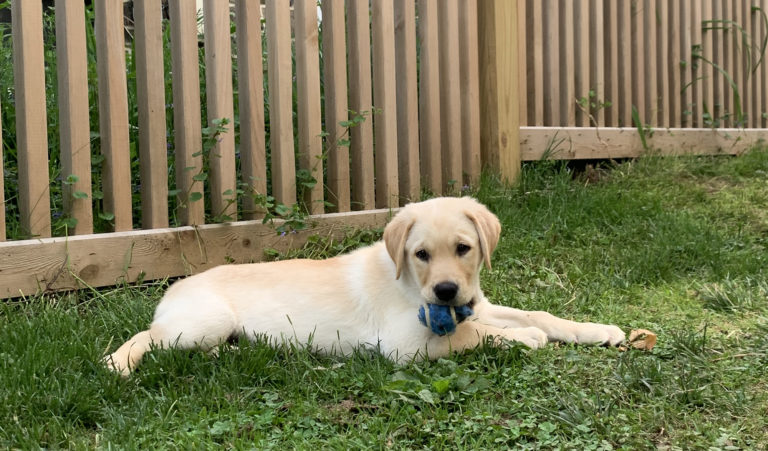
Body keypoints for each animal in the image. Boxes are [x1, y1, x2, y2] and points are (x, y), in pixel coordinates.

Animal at [106, 198, 624, 378]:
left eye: (464, 248)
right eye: (420, 255)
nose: (446, 293)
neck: (411, 286)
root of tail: (173, 288)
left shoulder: (477, 303)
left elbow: (536, 314)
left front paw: (598, 330)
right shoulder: (405, 345)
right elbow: (471, 335)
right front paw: (523, 339)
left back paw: (235, 352)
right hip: (206, 319)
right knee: (151, 338)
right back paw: (120, 362)